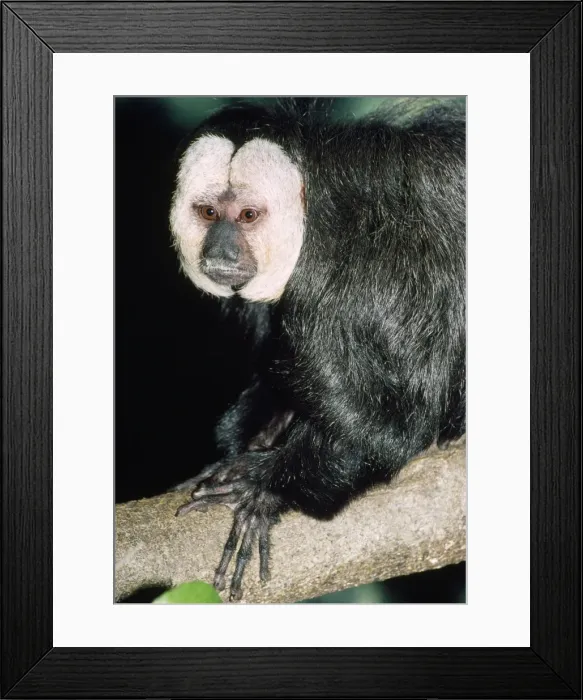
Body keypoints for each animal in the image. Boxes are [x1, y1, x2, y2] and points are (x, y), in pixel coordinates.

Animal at [169, 98, 466, 601]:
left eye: (248, 216)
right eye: (208, 212)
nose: (221, 251)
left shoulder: (359, 280)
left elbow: (390, 430)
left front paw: (263, 487)